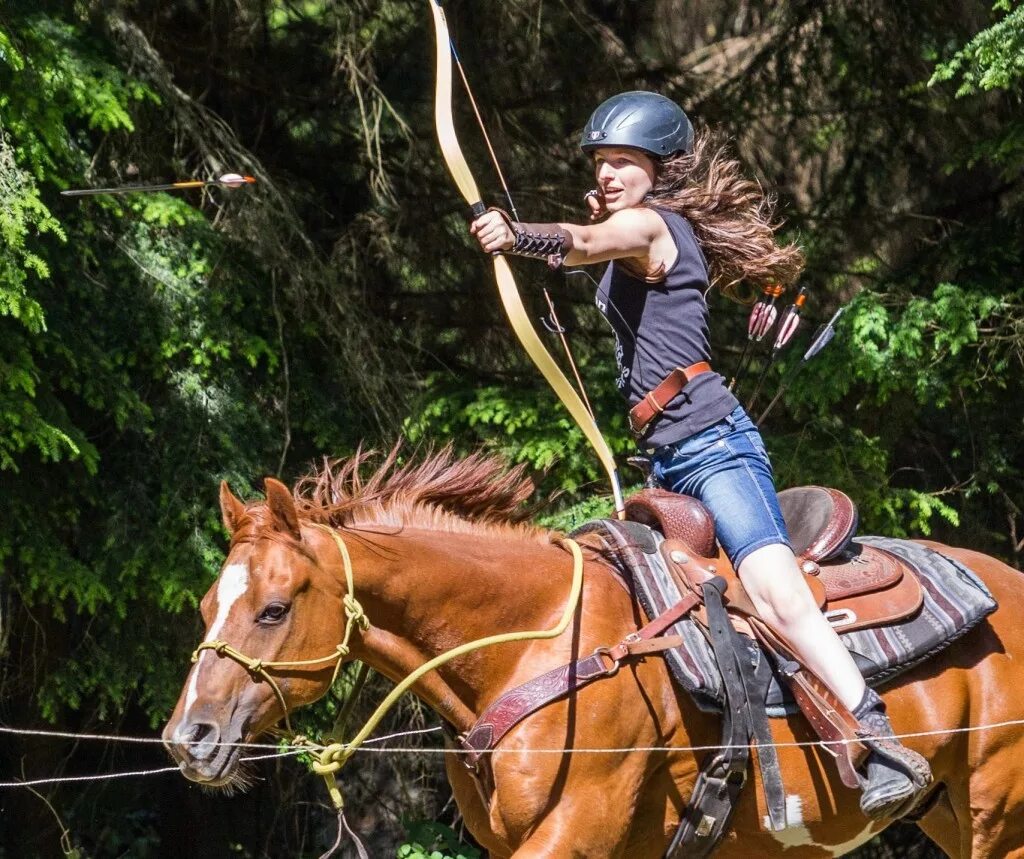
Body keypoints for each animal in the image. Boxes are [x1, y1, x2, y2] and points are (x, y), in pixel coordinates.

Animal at [163, 452, 1024, 855]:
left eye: (273, 609)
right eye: (207, 607)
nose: (187, 737)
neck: (534, 639)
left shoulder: (577, 832)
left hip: (998, 818)